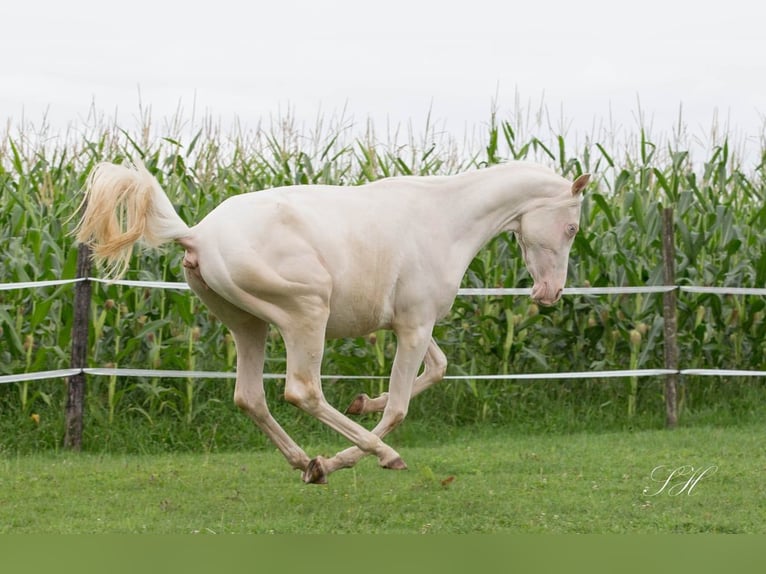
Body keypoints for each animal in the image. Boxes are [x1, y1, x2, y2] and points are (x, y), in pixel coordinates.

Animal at [78, 160, 592, 484]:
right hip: (306, 315)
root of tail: (198, 234)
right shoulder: (414, 325)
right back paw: (356, 460)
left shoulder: (409, 323)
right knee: (302, 391)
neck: (444, 220)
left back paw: (306, 462)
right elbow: (399, 408)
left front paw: (363, 402)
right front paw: (358, 452)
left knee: (250, 397)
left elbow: (437, 370)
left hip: (247, 325)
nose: (550, 294)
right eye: (571, 228)